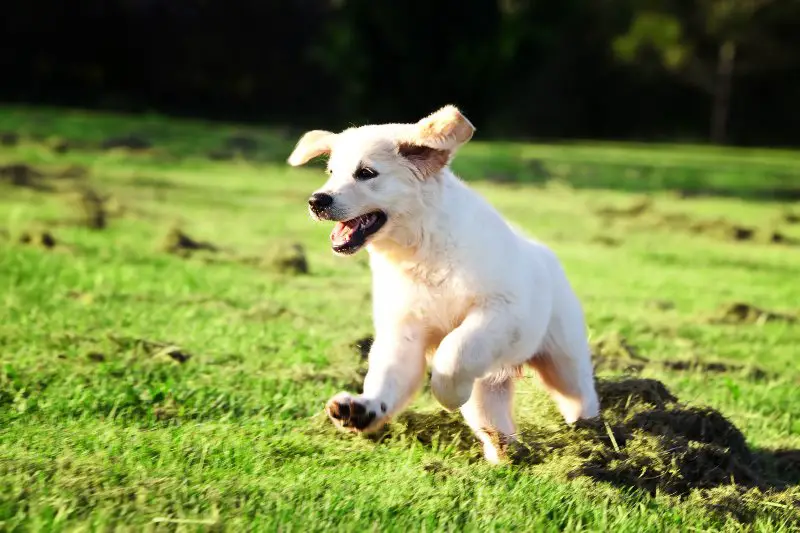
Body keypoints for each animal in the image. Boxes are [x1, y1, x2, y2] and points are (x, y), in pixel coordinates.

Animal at [288, 105, 600, 462]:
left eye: (366, 173)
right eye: (331, 172)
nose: (317, 201)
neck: (420, 252)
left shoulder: (501, 312)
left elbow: (454, 349)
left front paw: (447, 393)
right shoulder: (403, 331)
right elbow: (387, 376)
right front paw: (362, 409)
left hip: (563, 358)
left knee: (579, 396)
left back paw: (591, 435)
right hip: (491, 387)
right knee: (494, 418)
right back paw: (506, 456)